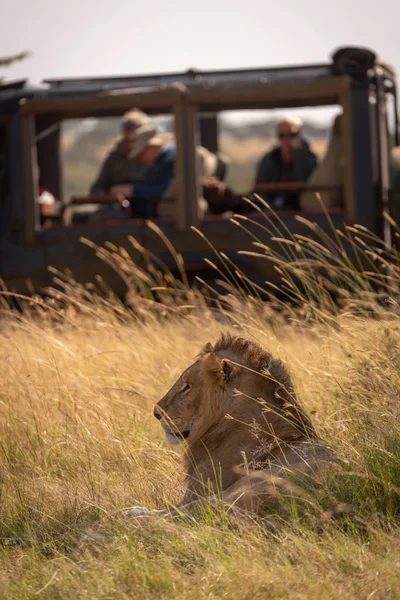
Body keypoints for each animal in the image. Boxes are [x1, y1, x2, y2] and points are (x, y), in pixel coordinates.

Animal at [126, 336, 336, 516]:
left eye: (187, 386)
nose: (156, 413)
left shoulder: (197, 492)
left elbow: (170, 509)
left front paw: (136, 511)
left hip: (245, 487)